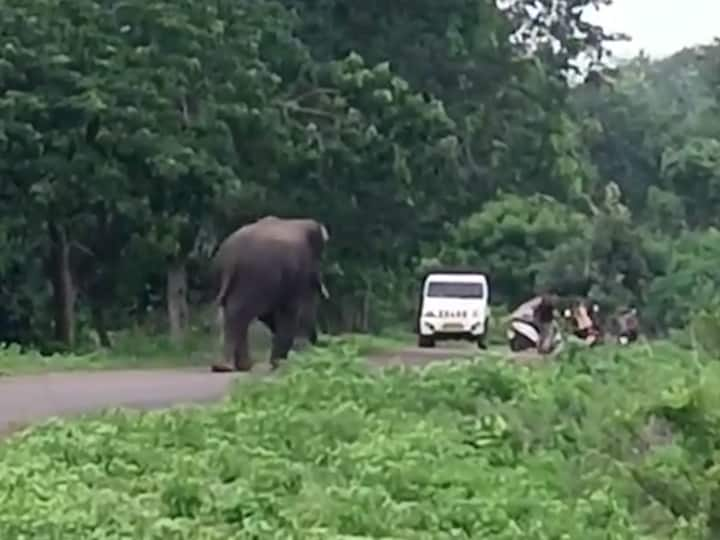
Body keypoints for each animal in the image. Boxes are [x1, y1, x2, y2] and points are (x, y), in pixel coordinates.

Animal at [210, 215, 330, 372]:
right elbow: (290, 310)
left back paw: (238, 366)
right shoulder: (299, 270)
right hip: (256, 275)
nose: (318, 343)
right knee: (239, 312)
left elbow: (270, 315)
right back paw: (228, 367)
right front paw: (280, 364)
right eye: (320, 258)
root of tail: (231, 256)